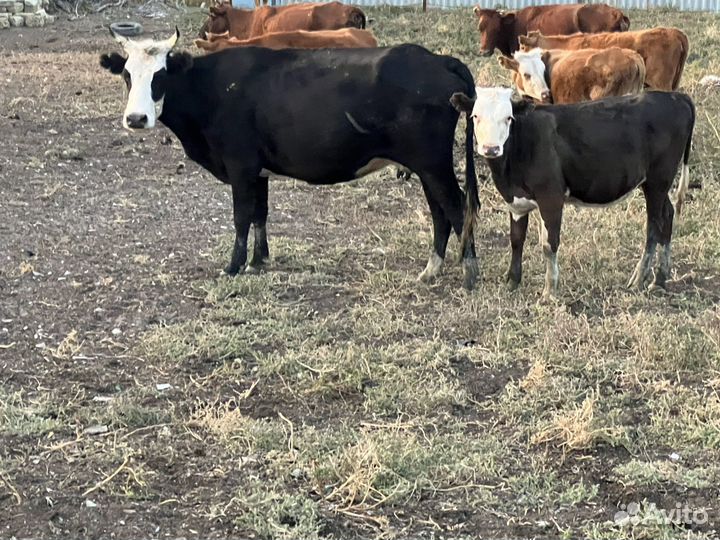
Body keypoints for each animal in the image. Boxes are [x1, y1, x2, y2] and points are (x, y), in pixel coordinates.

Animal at [100, 30, 481, 289]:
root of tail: (436, 58)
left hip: (432, 163)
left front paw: (234, 266)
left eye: (160, 75)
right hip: (426, 166)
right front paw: (259, 260)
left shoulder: (240, 166)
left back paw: (470, 272)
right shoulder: (258, 171)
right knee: (440, 212)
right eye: (127, 74)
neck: (211, 88)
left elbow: (241, 216)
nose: (136, 119)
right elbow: (260, 214)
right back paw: (432, 269)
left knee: (457, 206)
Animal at [449, 88, 694, 298]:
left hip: (658, 181)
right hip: (656, 184)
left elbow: (549, 244)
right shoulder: (517, 202)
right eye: (475, 116)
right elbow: (516, 240)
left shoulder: (551, 197)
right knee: (667, 216)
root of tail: (676, 96)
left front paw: (549, 292)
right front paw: (512, 282)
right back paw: (660, 279)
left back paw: (639, 279)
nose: (491, 149)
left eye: (508, 118)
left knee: (653, 226)